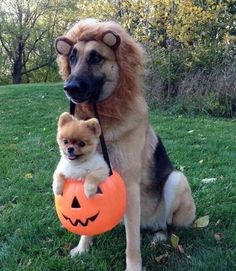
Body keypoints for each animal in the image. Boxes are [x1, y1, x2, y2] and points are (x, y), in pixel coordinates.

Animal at [54, 18, 195, 270]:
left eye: (95, 58)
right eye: (72, 57)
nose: (69, 87)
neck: (102, 118)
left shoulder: (128, 186)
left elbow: (132, 242)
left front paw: (133, 266)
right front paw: (83, 247)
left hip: (176, 180)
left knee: (165, 225)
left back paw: (159, 235)